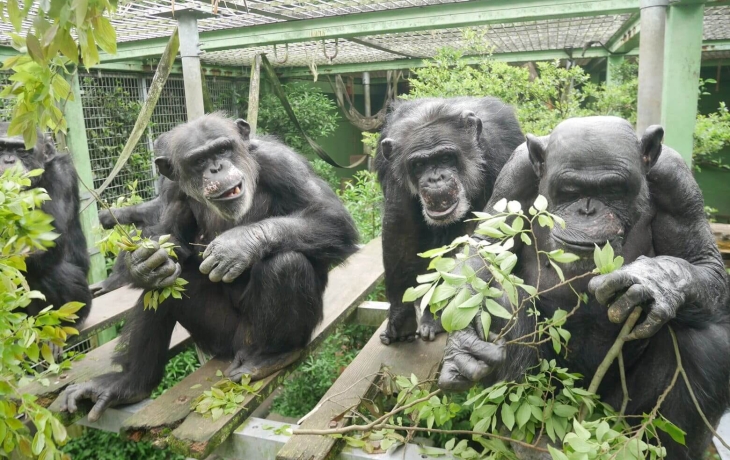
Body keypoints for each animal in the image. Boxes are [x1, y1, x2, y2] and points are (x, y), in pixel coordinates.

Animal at [0, 122, 91, 324]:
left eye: (22, 150)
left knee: (53, 272)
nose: (8, 160)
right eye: (0, 148)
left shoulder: (60, 175)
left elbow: (42, 240)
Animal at [61, 113, 356, 422]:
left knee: (287, 263)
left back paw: (271, 356)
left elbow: (331, 216)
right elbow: (168, 237)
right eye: (199, 160)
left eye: (223, 149)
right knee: (164, 288)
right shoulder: (172, 189)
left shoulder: (282, 162)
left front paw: (237, 245)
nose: (216, 168)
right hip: (219, 337)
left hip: (254, 337)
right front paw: (142, 263)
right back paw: (129, 383)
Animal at [376, 97, 524, 344]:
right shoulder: (393, 170)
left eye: (446, 158)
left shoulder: (501, 151)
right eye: (419, 165)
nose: (436, 178)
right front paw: (400, 317)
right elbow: (399, 227)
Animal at [438, 117, 728, 458]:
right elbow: (486, 246)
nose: (588, 209)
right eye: (570, 191)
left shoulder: (677, 183)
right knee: (503, 298)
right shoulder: (515, 175)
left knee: (704, 341)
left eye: (612, 189)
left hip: (616, 412)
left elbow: (703, 262)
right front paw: (462, 345)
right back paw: (528, 443)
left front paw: (653, 279)